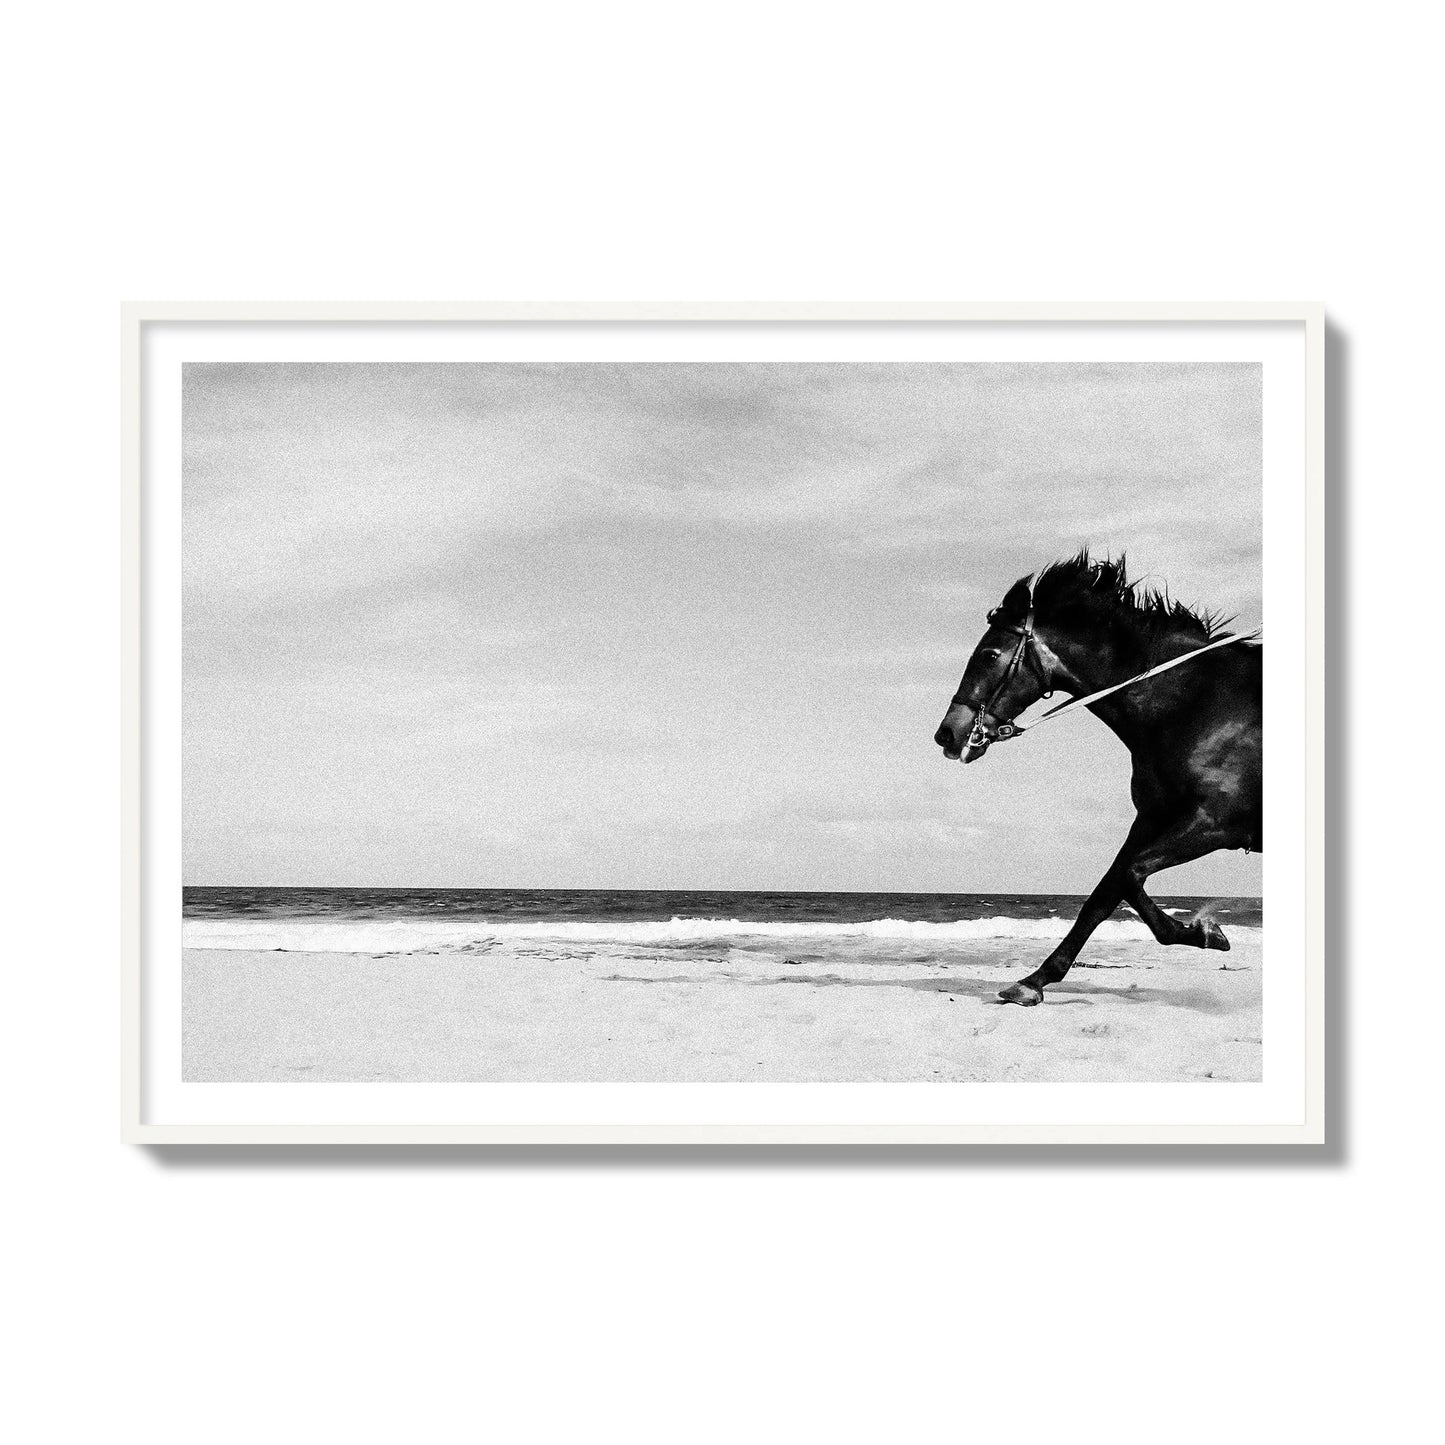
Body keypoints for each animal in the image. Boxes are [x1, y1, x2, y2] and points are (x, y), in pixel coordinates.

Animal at [933, 553, 1262, 1006]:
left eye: (990, 654)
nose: (948, 734)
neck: (1196, 704)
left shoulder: (1215, 823)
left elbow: (1128, 876)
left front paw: (1204, 931)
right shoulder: (1153, 819)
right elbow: (1105, 893)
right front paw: (1034, 980)